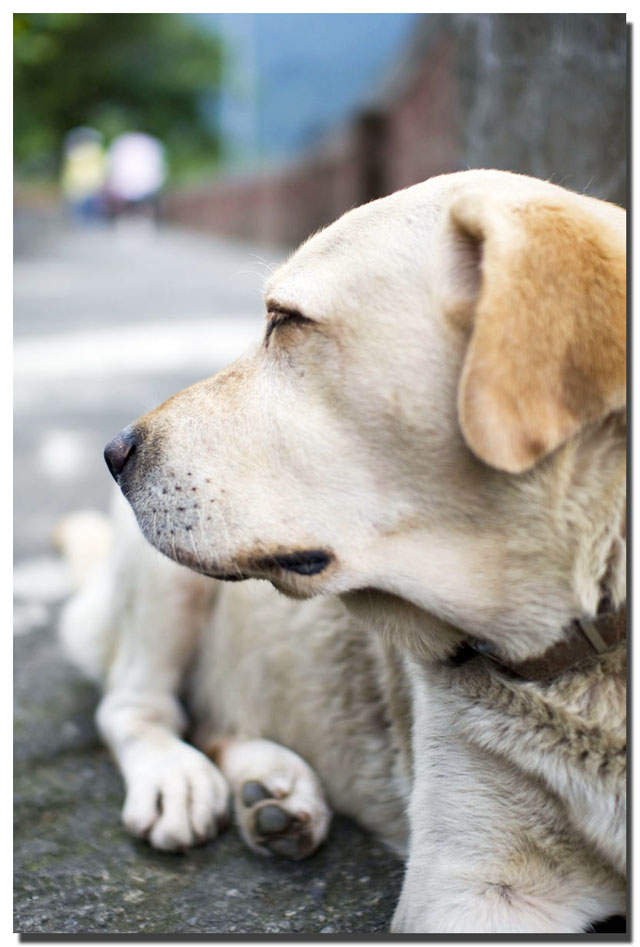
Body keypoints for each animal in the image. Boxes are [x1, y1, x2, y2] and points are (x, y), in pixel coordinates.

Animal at [56, 170, 624, 932]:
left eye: (286, 320)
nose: (114, 452)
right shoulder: (469, 890)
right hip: (161, 584)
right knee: (137, 706)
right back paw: (181, 779)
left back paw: (275, 790)